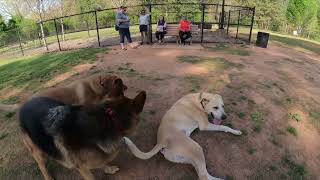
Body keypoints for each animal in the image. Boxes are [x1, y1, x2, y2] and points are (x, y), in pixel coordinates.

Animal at [18, 91, 146, 180]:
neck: (109, 120)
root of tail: (24, 104)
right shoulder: (82, 168)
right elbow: (91, 176)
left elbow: (102, 162)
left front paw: (108, 168)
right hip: (37, 152)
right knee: (41, 166)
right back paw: (48, 177)